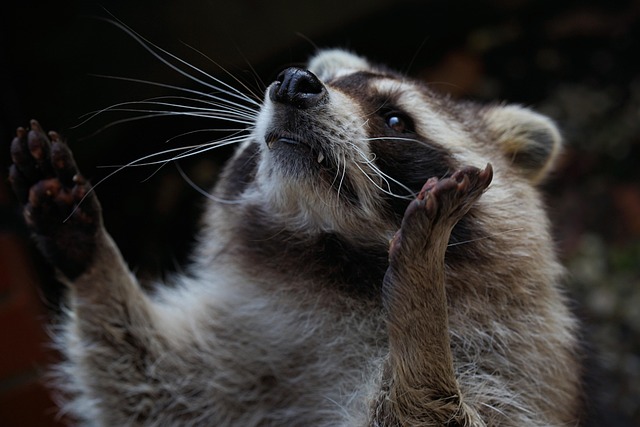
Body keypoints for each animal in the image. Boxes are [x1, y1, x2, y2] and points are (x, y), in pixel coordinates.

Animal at [9, 49, 583, 426]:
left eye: (396, 118)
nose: (293, 82)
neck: (334, 264)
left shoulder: (514, 368)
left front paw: (420, 315)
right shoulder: (244, 356)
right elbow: (154, 391)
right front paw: (89, 255)